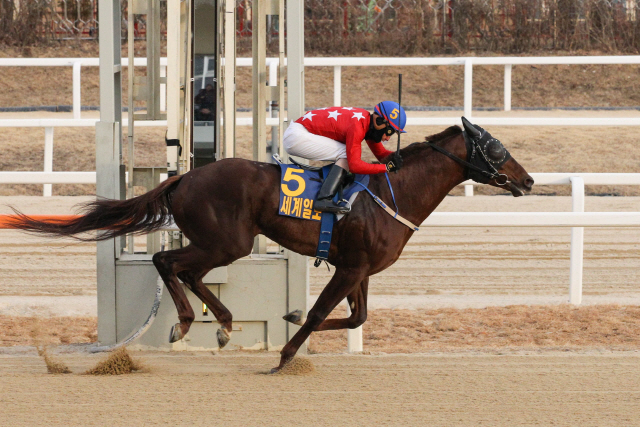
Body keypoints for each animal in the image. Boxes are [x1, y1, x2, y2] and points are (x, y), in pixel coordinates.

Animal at [7, 118, 532, 372]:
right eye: (498, 149)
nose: (527, 180)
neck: (391, 193)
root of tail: (183, 177)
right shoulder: (350, 268)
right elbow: (321, 313)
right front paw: (283, 358)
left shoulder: (358, 267)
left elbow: (355, 317)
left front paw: (291, 318)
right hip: (227, 242)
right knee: (166, 259)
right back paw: (187, 322)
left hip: (220, 243)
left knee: (186, 270)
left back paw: (220, 323)